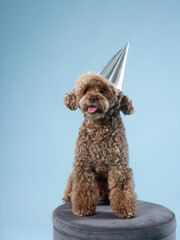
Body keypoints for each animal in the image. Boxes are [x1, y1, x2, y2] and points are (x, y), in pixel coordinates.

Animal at [62, 71, 136, 219]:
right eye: (86, 89)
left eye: (104, 90)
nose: (92, 97)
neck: (98, 127)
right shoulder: (83, 164)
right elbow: (83, 187)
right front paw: (83, 208)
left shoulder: (119, 166)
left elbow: (121, 189)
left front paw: (126, 209)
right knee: (72, 184)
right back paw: (69, 196)